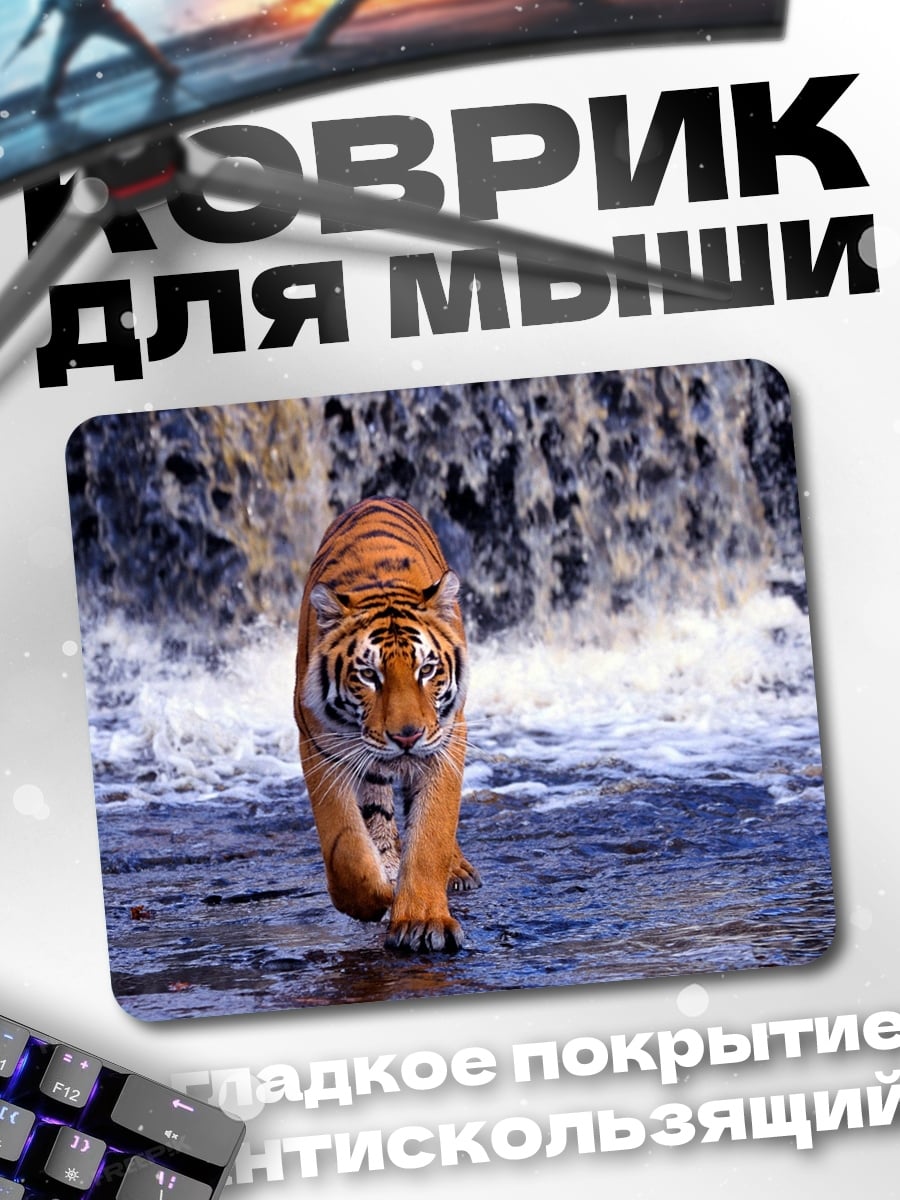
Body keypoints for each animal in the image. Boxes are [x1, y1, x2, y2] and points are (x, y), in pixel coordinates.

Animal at [294, 496, 480, 953]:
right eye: (367, 675)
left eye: (427, 670)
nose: (407, 736)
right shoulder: (320, 746)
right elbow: (344, 846)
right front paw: (377, 895)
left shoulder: (446, 741)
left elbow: (431, 834)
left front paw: (422, 920)